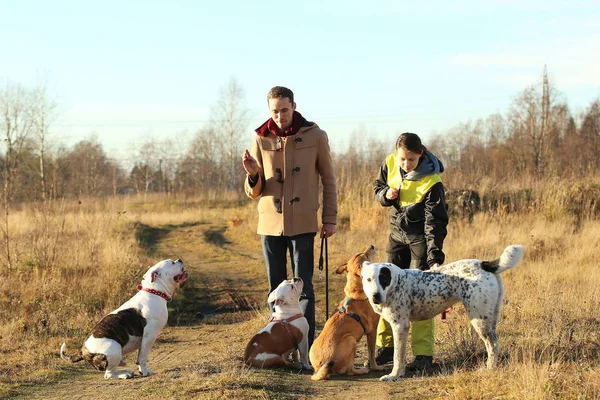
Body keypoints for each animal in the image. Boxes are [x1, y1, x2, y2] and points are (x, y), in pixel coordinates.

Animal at [60, 260, 188, 378]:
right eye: (172, 263)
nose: (180, 260)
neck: (154, 291)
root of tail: (83, 350)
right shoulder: (150, 335)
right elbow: (143, 357)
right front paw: (144, 372)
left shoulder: (144, 340)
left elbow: (139, 356)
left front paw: (142, 370)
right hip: (114, 349)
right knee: (109, 374)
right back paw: (124, 374)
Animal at [310, 245, 384, 380]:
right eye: (366, 257)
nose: (371, 246)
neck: (357, 292)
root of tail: (321, 366)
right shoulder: (372, 331)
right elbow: (371, 353)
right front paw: (375, 367)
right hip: (351, 339)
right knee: (349, 371)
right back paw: (361, 370)